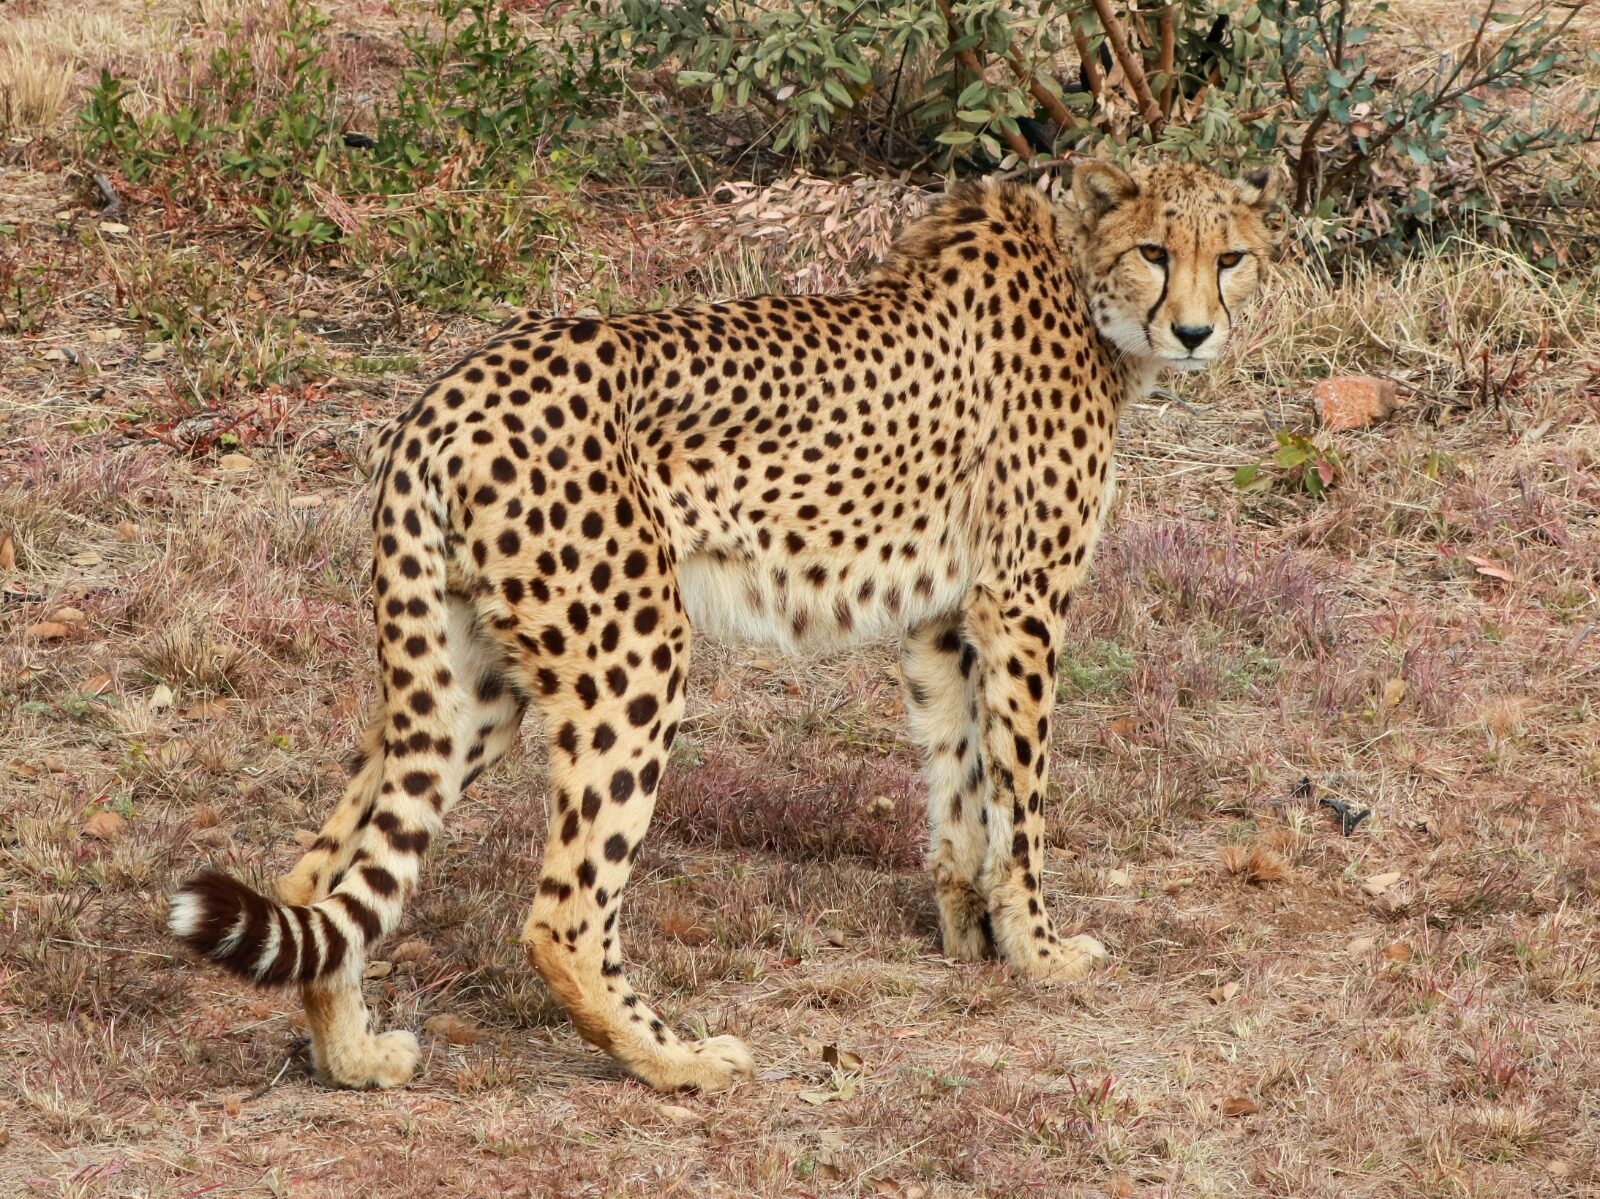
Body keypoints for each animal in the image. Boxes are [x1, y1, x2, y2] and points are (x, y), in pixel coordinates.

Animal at [169, 157, 1281, 1094]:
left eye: (1229, 257)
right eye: (1155, 252)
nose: (1196, 332)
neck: (1080, 277)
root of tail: (443, 396)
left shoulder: (943, 617)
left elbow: (959, 776)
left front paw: (969, 933)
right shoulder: (1021, 599)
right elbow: (1024, 797)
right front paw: (1042, 951)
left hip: (468, 683)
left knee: (321, 870)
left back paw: (352, 1054)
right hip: (631, 656)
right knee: (564, 914)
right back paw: (681, 1062)